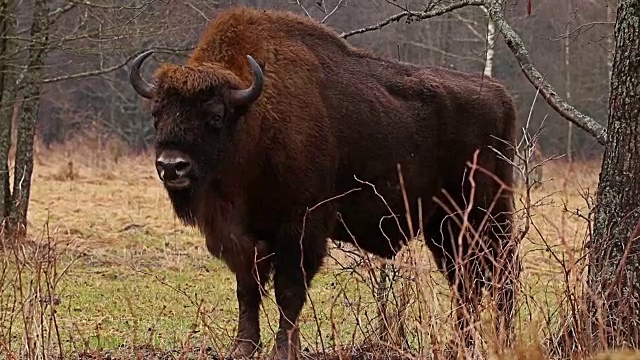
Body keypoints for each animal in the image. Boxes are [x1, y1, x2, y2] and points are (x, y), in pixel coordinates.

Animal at [126, 6, 520, 360]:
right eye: (157, 113)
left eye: (215, 115)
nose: (172, 166)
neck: (254, 118)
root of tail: (501, 96)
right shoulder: (244, 237)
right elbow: (247, 290)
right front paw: (243, 348)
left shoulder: (301, 227)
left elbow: (289, 292)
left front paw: (284, 350)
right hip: (444, 227)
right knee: (467, 283)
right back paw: (461, 347)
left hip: (484, 215)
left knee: (500, 274)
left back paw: (501, 341)